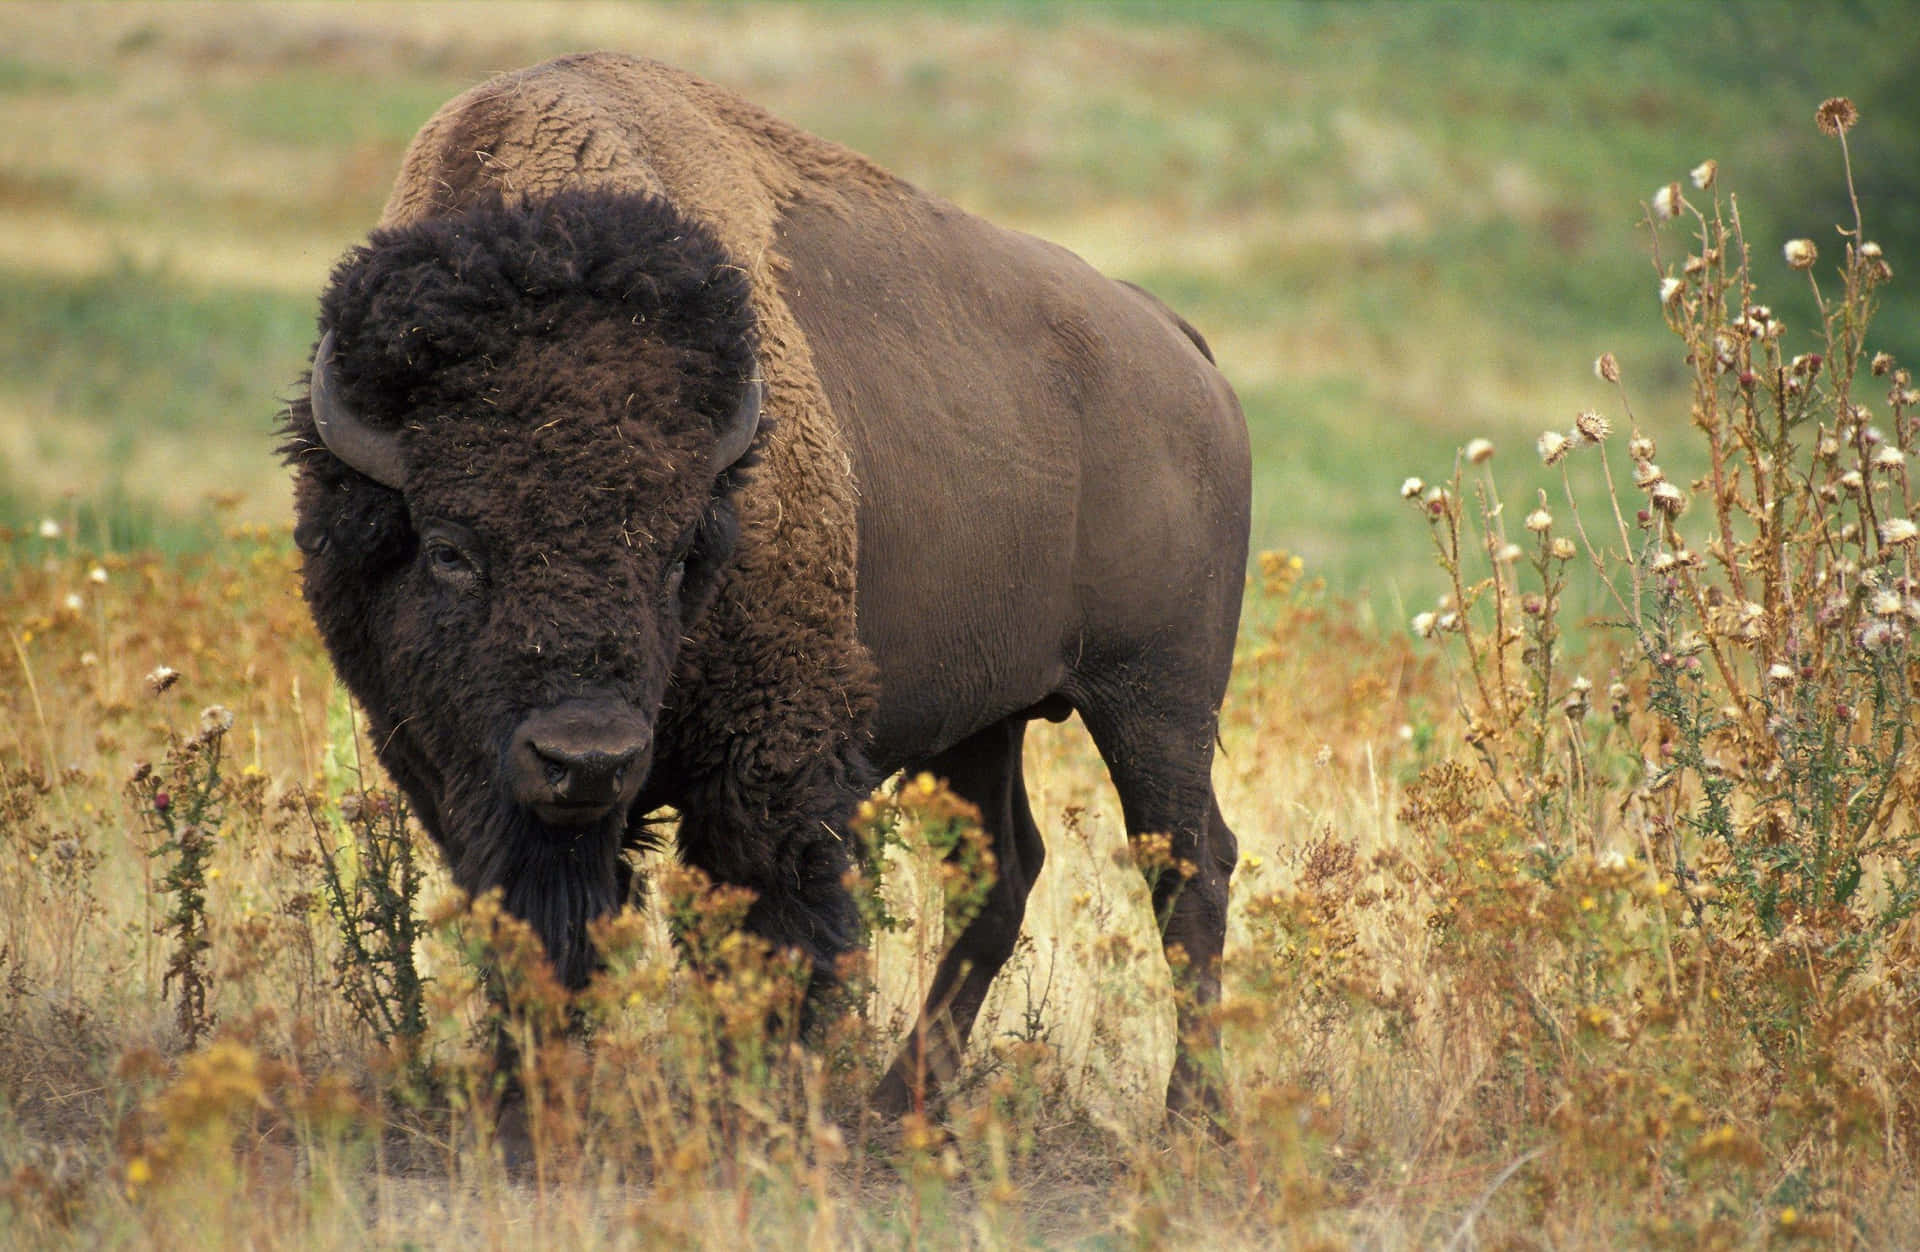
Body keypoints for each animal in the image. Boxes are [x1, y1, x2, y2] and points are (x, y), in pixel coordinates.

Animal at [280, 53, 1244, 1121]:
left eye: (679, 552)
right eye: (449, 547)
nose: (587, 759)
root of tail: (1177, 345)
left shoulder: (771, 760)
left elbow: (771, 931)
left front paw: (756, 1100)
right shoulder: (458, 774)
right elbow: (539, 931)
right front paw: (525, 1103)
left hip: (1156, 699)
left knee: (1189, 868)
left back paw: (1188, 1116)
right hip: (986, 718)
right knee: (1006, 869)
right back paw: (899, 1104)